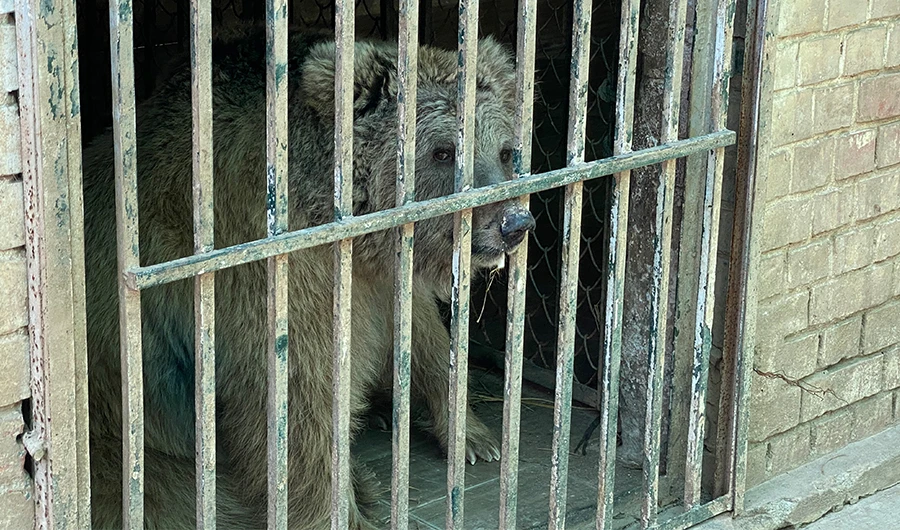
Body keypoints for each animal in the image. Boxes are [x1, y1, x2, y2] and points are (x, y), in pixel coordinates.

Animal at [82, 25, 534, 529]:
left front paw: (474, 436)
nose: (513, 223)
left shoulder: (382, 272)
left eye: (504, 151)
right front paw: (341, 508)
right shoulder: (273, 273)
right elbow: (301, 399)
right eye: (443, 151)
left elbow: (421, 333)